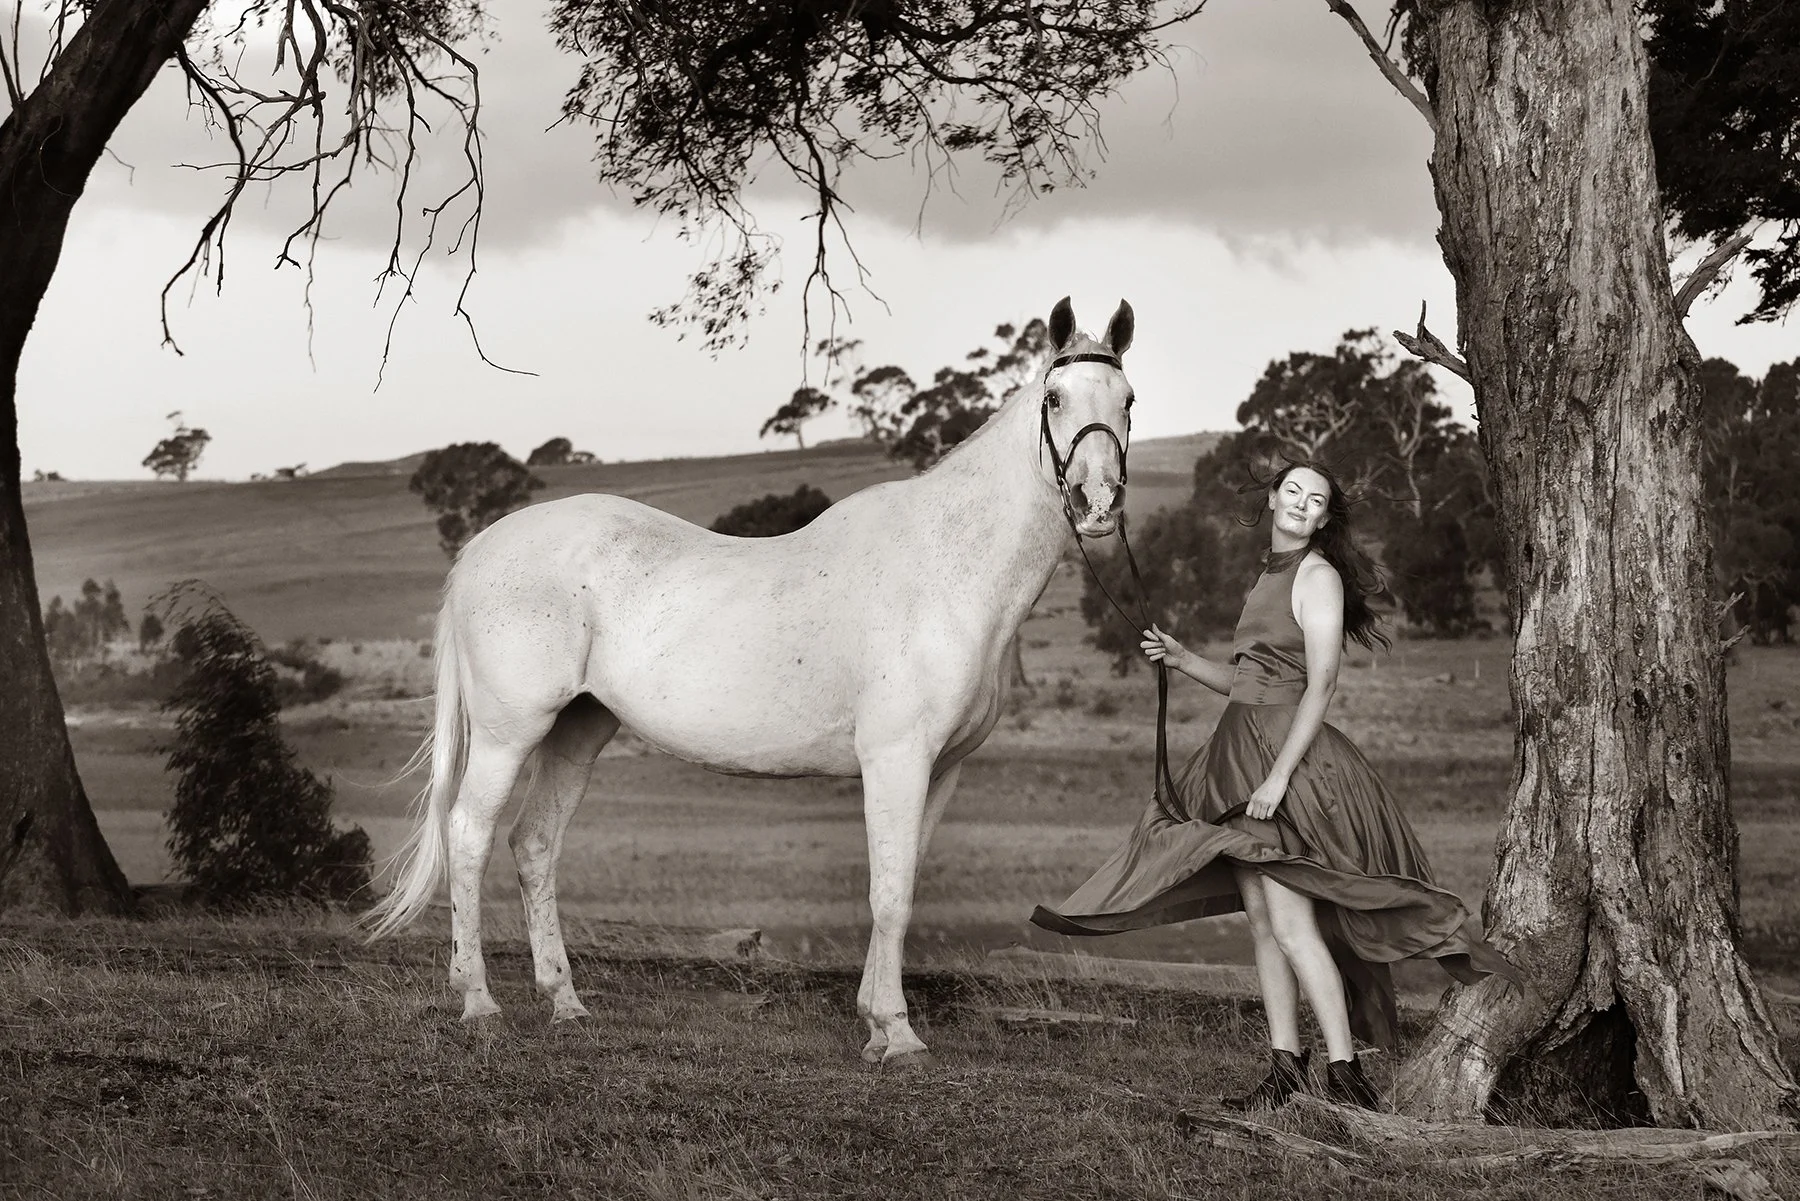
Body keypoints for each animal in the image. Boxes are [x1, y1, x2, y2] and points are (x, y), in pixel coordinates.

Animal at [364, 295, 1136, 1065]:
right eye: (1056, 397)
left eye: (1127, 398)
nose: (1097, 501)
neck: (946, 568)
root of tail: (479, 548)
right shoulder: (897, 760)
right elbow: (889, 897)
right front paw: (897, 1032)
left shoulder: (942, 769)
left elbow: (901, 884)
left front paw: (875, 1021)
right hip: (509, 732)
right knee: (469, 834)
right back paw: (478, 1002)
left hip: (576, 731)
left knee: (534, 845)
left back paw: (565, 1002)